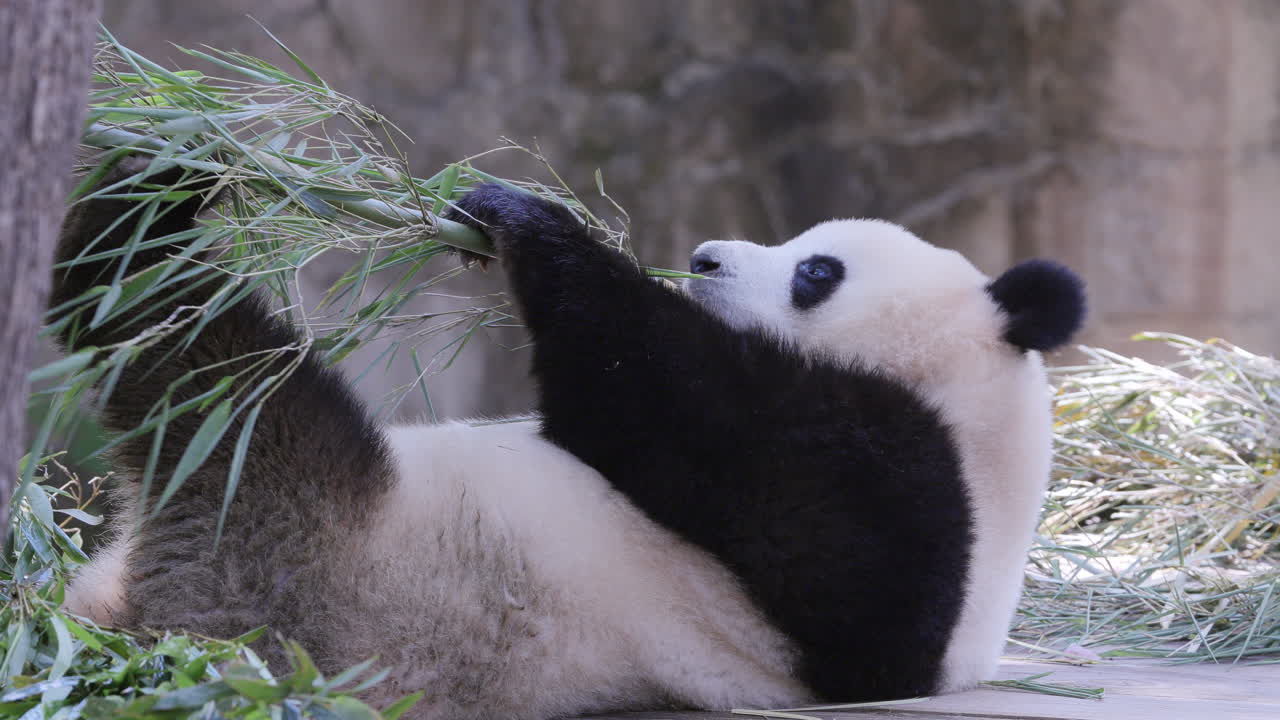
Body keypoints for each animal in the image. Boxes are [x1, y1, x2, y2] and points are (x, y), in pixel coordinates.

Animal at [56, 158, 1084, 719]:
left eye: (817, 271)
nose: (703, 259)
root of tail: (134, 615)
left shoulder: (910, 504)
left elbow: (686, 416)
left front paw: (525, 218)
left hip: (307, 568)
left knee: (211, 376)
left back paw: (147, 214)